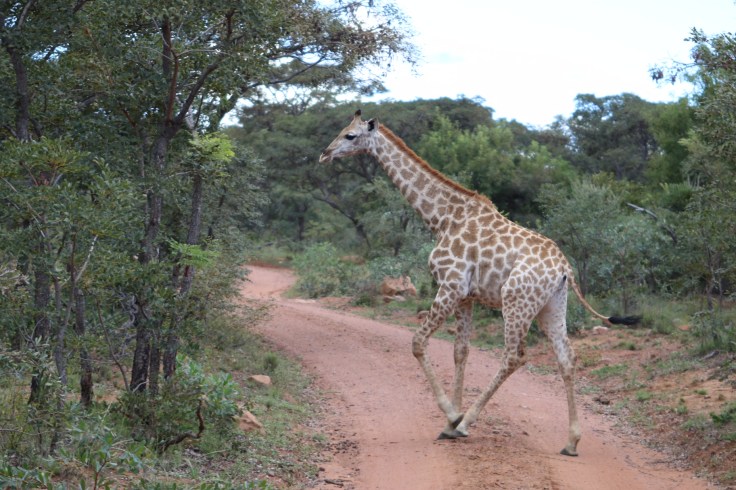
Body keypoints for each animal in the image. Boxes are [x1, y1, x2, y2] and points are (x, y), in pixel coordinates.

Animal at [319, 110, 639, 456]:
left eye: (350, 136)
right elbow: (461, 351)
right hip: (552, 306)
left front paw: (453, 416)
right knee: (566, 357)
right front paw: (449, 422)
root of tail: (565, 268)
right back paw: (571, 442)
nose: (325, 154)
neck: (443, 217)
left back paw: (468, 421)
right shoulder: (466, 296)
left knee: (514, 355)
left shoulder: (451, 285)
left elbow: (418, 343)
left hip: (516, 301)